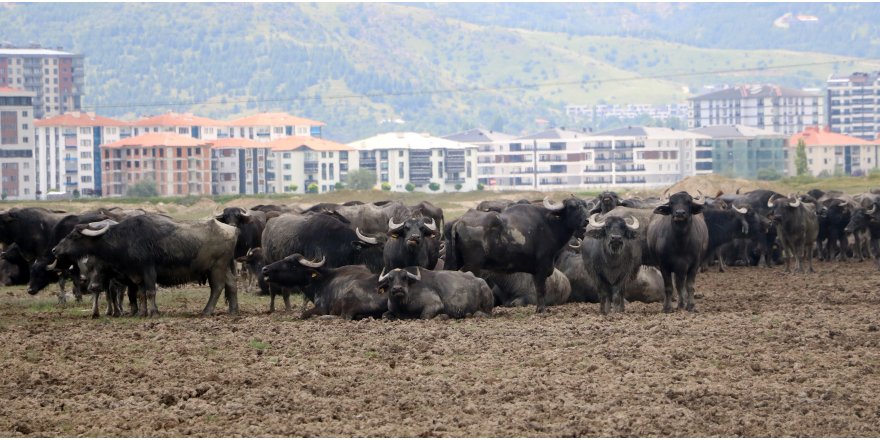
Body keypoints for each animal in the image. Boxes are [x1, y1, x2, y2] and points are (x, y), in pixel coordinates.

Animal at [52, 216, 239, 316]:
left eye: (74, 236)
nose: (55, 249)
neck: (125, 239)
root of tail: (232, 230)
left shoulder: (148, 270)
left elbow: (150, 292)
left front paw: (154, 312)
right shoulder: (137, 275)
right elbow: (140, 294)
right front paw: (142, 312)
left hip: (216, 268)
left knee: (217, 287)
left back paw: (207, 311)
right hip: (223, 268)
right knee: (231, 284)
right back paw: (233, 310)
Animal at [450, 196, 588, 312]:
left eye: (585, 206)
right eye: (572, 207)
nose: (586, 220)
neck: (549, 225)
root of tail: (459, 222)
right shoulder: (542, 268)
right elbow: (541, 289)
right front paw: (542, 309)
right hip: (473, 265)